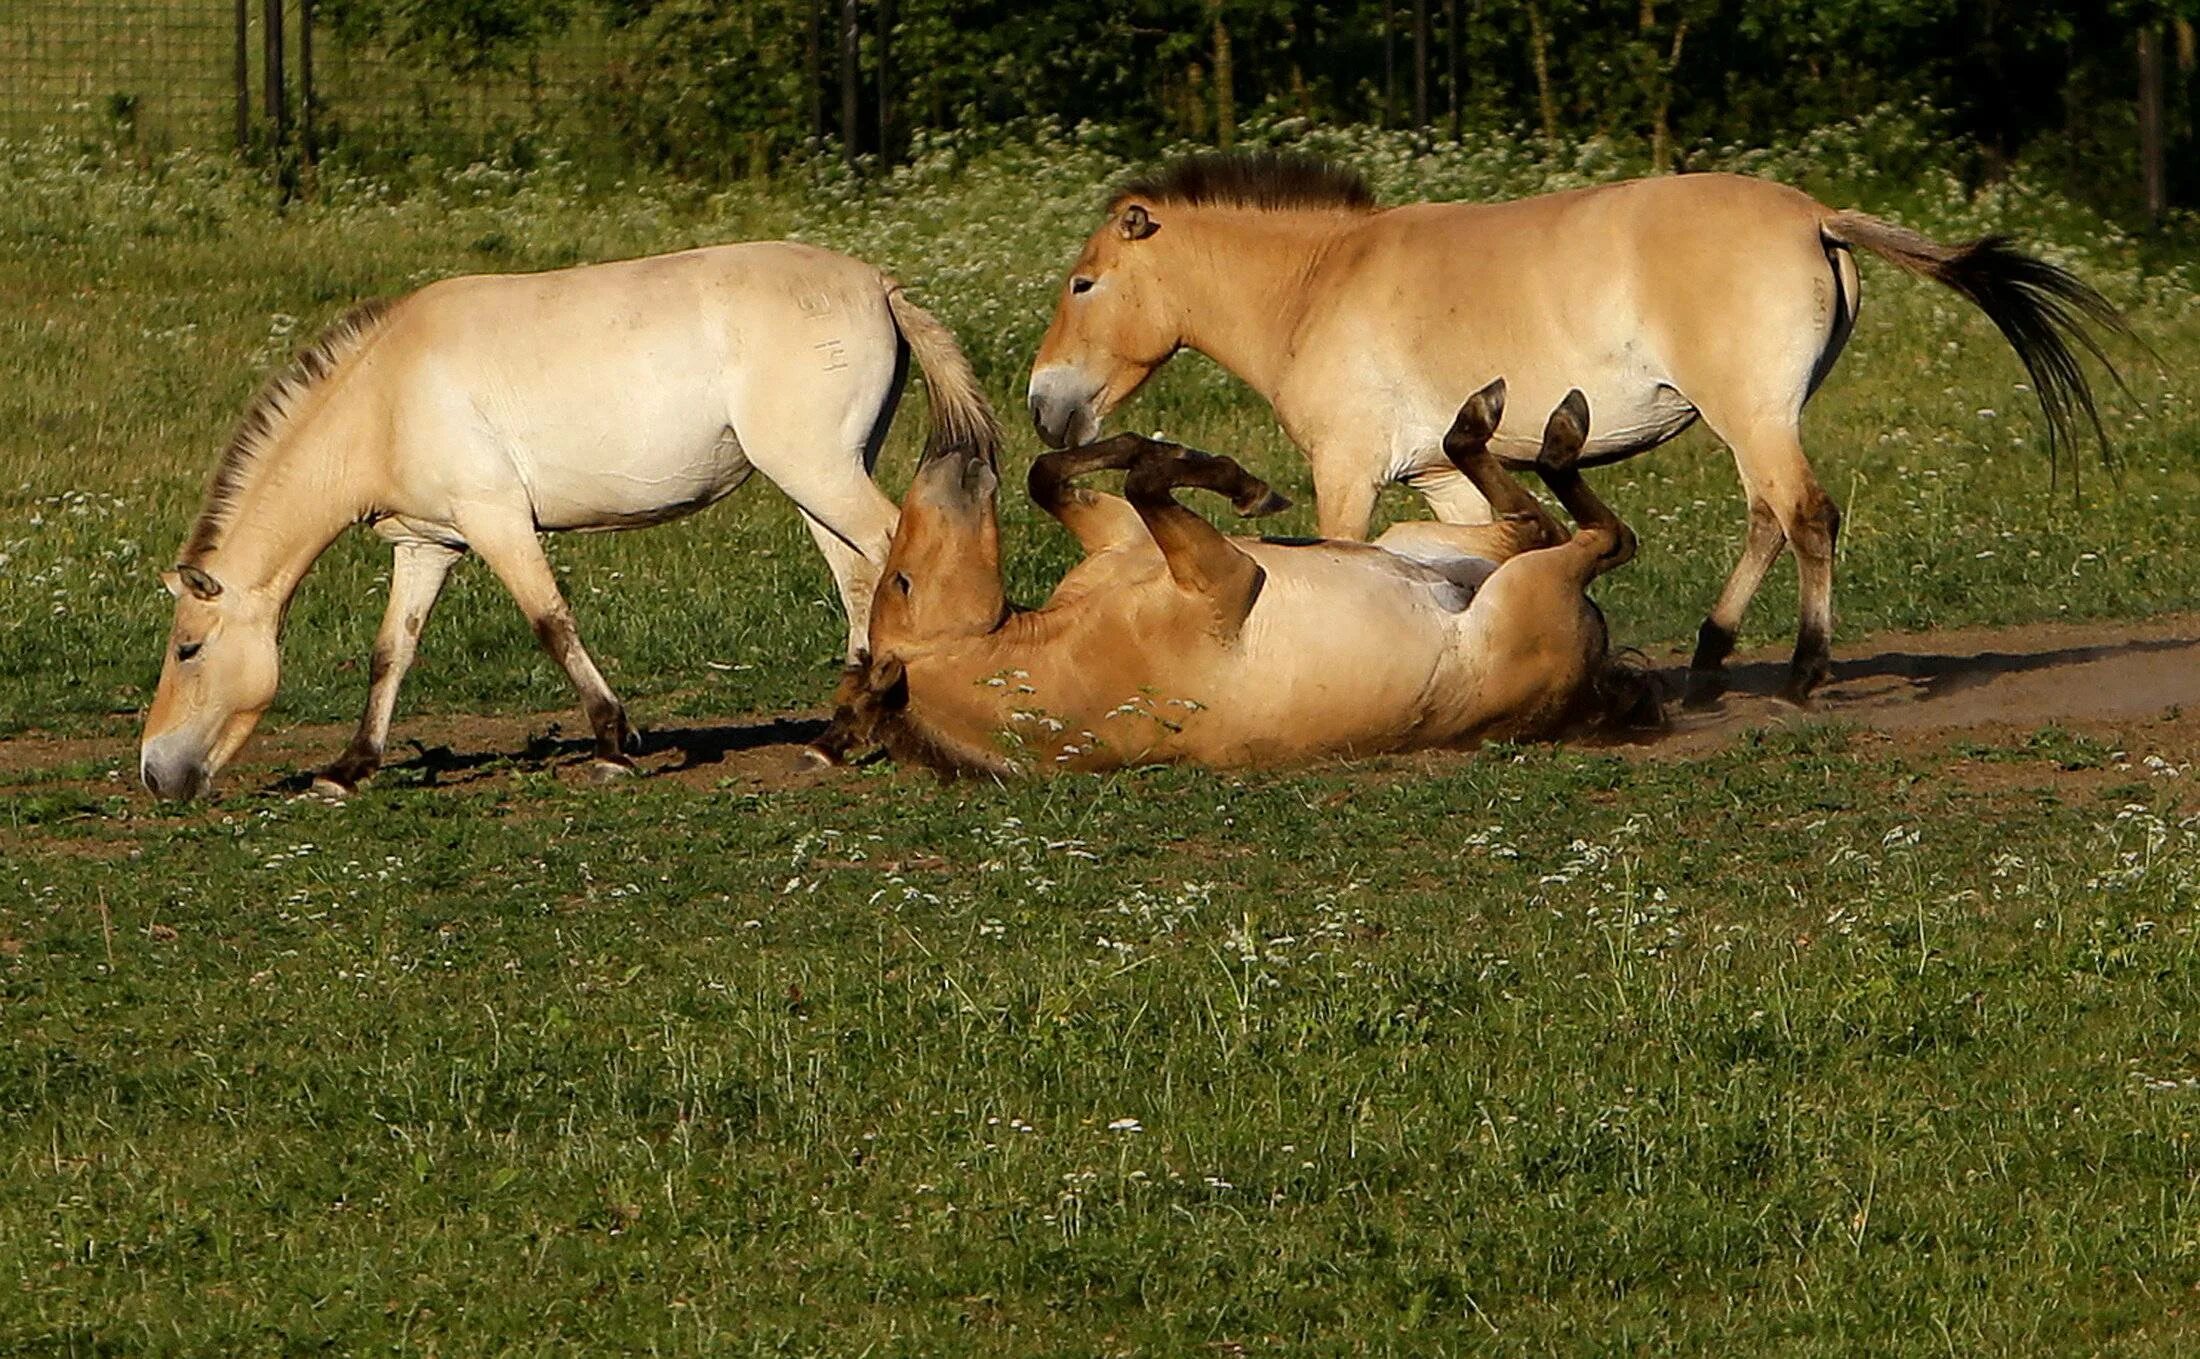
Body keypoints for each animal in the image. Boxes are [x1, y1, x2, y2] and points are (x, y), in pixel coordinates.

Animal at [141, 238, 994, 800]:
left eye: (188, 649)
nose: (155, 773)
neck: (385, 395)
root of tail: (878, 285)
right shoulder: (427, 544)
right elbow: (391, 653)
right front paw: (350, 769)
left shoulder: (496, 521)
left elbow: (551, 622)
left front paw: (615, 742)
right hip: (817, 482)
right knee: (859, 582)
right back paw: (834, 739)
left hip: (820, 474)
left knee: (895, 564)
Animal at [827, 378, 1654, 774]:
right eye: (901, 583)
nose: (948, 452)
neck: (1059, 651)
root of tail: (1594, 681)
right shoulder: (1224, 578)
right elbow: (1146, 481)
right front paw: (1246, 487)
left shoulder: (1126, 541)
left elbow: (1060, 472)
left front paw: (1205, 466)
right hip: (1527, 586)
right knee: (1600, 536)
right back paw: (1553, 431)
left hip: (1432, 539)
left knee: (1531, 517)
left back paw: (1484, 419)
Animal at [1029, 153, 2129, 703]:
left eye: (1083, 284)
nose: (1044, 405)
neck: (1316, 284)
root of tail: (1815, 214)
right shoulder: (1440, 480)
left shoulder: (1348, 470)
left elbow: (1344, 556)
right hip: (1754, 420)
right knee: (1768, 518)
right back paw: (1708, 663)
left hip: (1752, 414)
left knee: (1805, 515)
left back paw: (1803, 674)